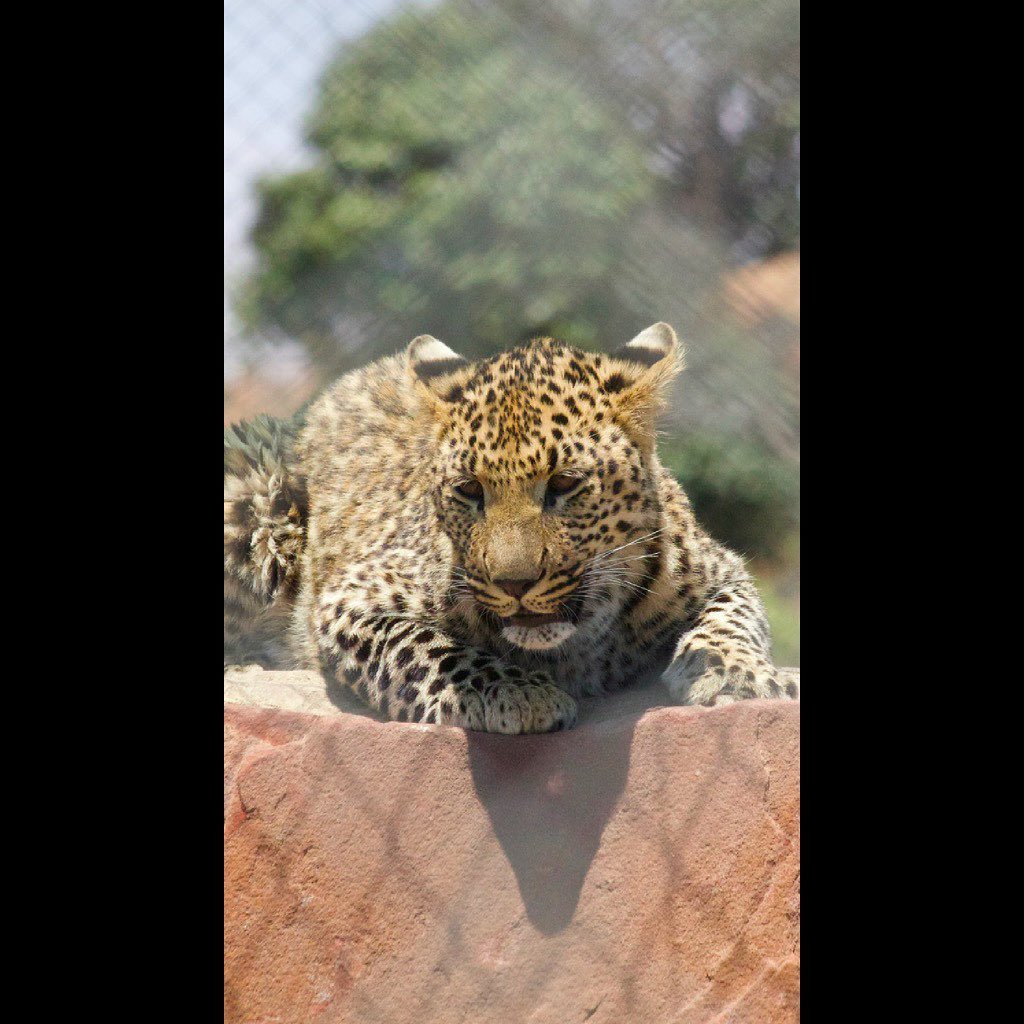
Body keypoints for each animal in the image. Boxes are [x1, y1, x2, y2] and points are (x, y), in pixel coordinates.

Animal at [224, 322, 798, 734]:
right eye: (469, 490)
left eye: (564, 484)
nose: (514, 584)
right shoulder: (349, 597)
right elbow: (421, 645)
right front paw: (513, 692)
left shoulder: (722, 569)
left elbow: (734, 616)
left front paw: (731, 672)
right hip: (247, 489)